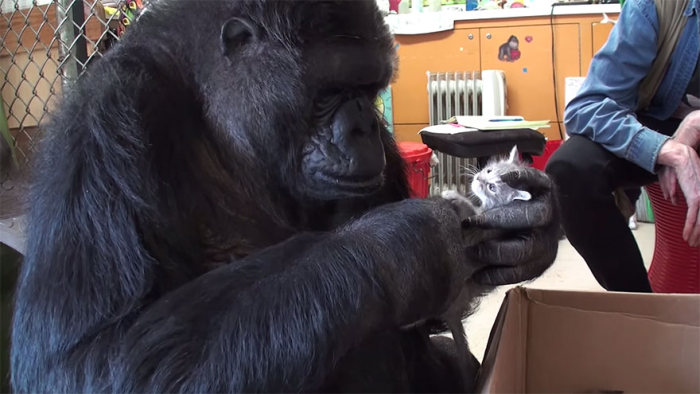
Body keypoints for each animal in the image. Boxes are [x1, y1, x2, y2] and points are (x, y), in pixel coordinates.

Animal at [10, 1, 556, 392]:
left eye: (370, 88)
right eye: (329, 92)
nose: (363, 126)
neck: (223, 124)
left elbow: (431, 318)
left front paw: (532, 229)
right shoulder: (107, 124)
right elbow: (88, 360)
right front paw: (406, 244)